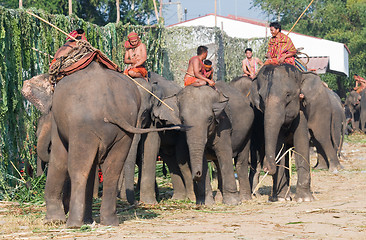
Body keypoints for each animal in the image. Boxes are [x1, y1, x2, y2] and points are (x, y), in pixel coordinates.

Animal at [44, 61, 180, 228]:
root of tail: (110, 103)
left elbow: (59, 158)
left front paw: (53, 221)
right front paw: (87, 221)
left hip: (83, 127)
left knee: (78, 169)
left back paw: (73, 224)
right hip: (122, 131)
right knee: (112, 170)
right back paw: (109, 222)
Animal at [250, 64, 314, 202]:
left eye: (288, 95)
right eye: (261, 97)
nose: (266, 168)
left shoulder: (301, 110)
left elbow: (301, 141)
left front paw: (304, 199)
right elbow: (279, 144)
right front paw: (281, 199)